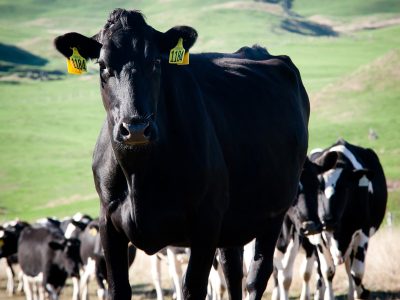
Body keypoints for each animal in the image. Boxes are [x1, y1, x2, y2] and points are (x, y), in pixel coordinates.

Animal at [53, 8, 310, 298]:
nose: (136, 128)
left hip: (274, 212)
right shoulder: (108, 222)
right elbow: (117, 287)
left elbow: (194, 286)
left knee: (257, 275)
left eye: (156, 61)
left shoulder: (206, 223)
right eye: (102, 66)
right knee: (232, 270)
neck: (139, 176)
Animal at [310, 140, 388, 300]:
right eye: (317, 188)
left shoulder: (362, 233)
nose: (327, 219)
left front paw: (360, 293)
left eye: (345, 187)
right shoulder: (319, 237)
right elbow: (328, 272)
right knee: (321, 272)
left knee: (349, 270)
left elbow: (356, 273)